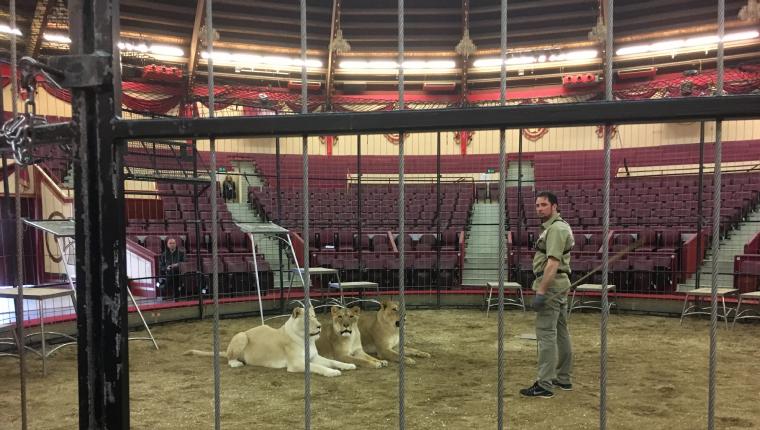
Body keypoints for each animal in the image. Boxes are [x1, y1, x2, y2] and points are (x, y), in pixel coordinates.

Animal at [187, 306, 360, 376]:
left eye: (315, 317)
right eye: (307, 319)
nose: (319, 326)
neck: (307, 340)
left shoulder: (314, 357)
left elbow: (332, 361)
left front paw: (348, 365)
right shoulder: (296, 363)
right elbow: (319, 367)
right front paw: (332, 372)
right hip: (241, 336)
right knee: (230, 358)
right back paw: (236, 363)